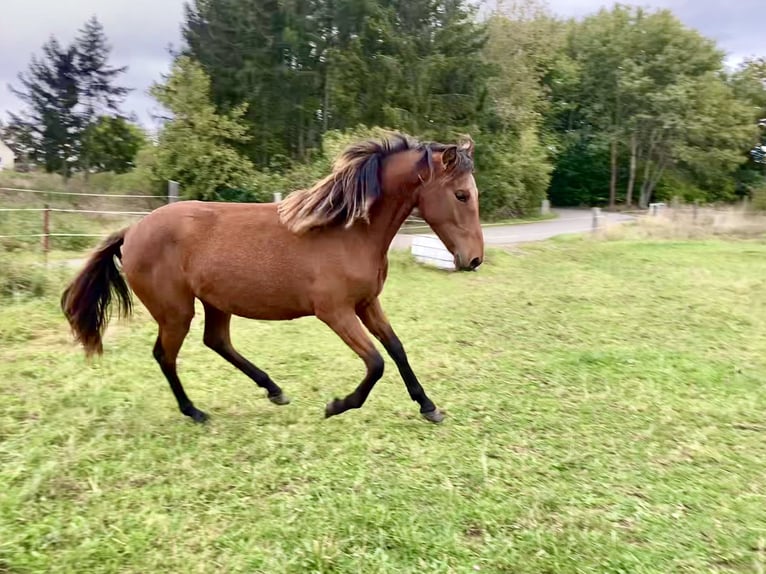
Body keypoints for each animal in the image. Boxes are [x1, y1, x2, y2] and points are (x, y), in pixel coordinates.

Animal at [60, 133, 484, 426]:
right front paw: (336, 406)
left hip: (215, 303)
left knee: (217, 342)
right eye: (462, 195)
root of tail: (131, 232)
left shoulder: (367, 303)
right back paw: (195, 412)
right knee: (166, 355)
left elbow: (396, 349)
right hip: (176, 312)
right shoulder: (335, 312)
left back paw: (274, 390)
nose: (474, 259)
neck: (348, 232)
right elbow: (376, 362)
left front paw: (429, 406)